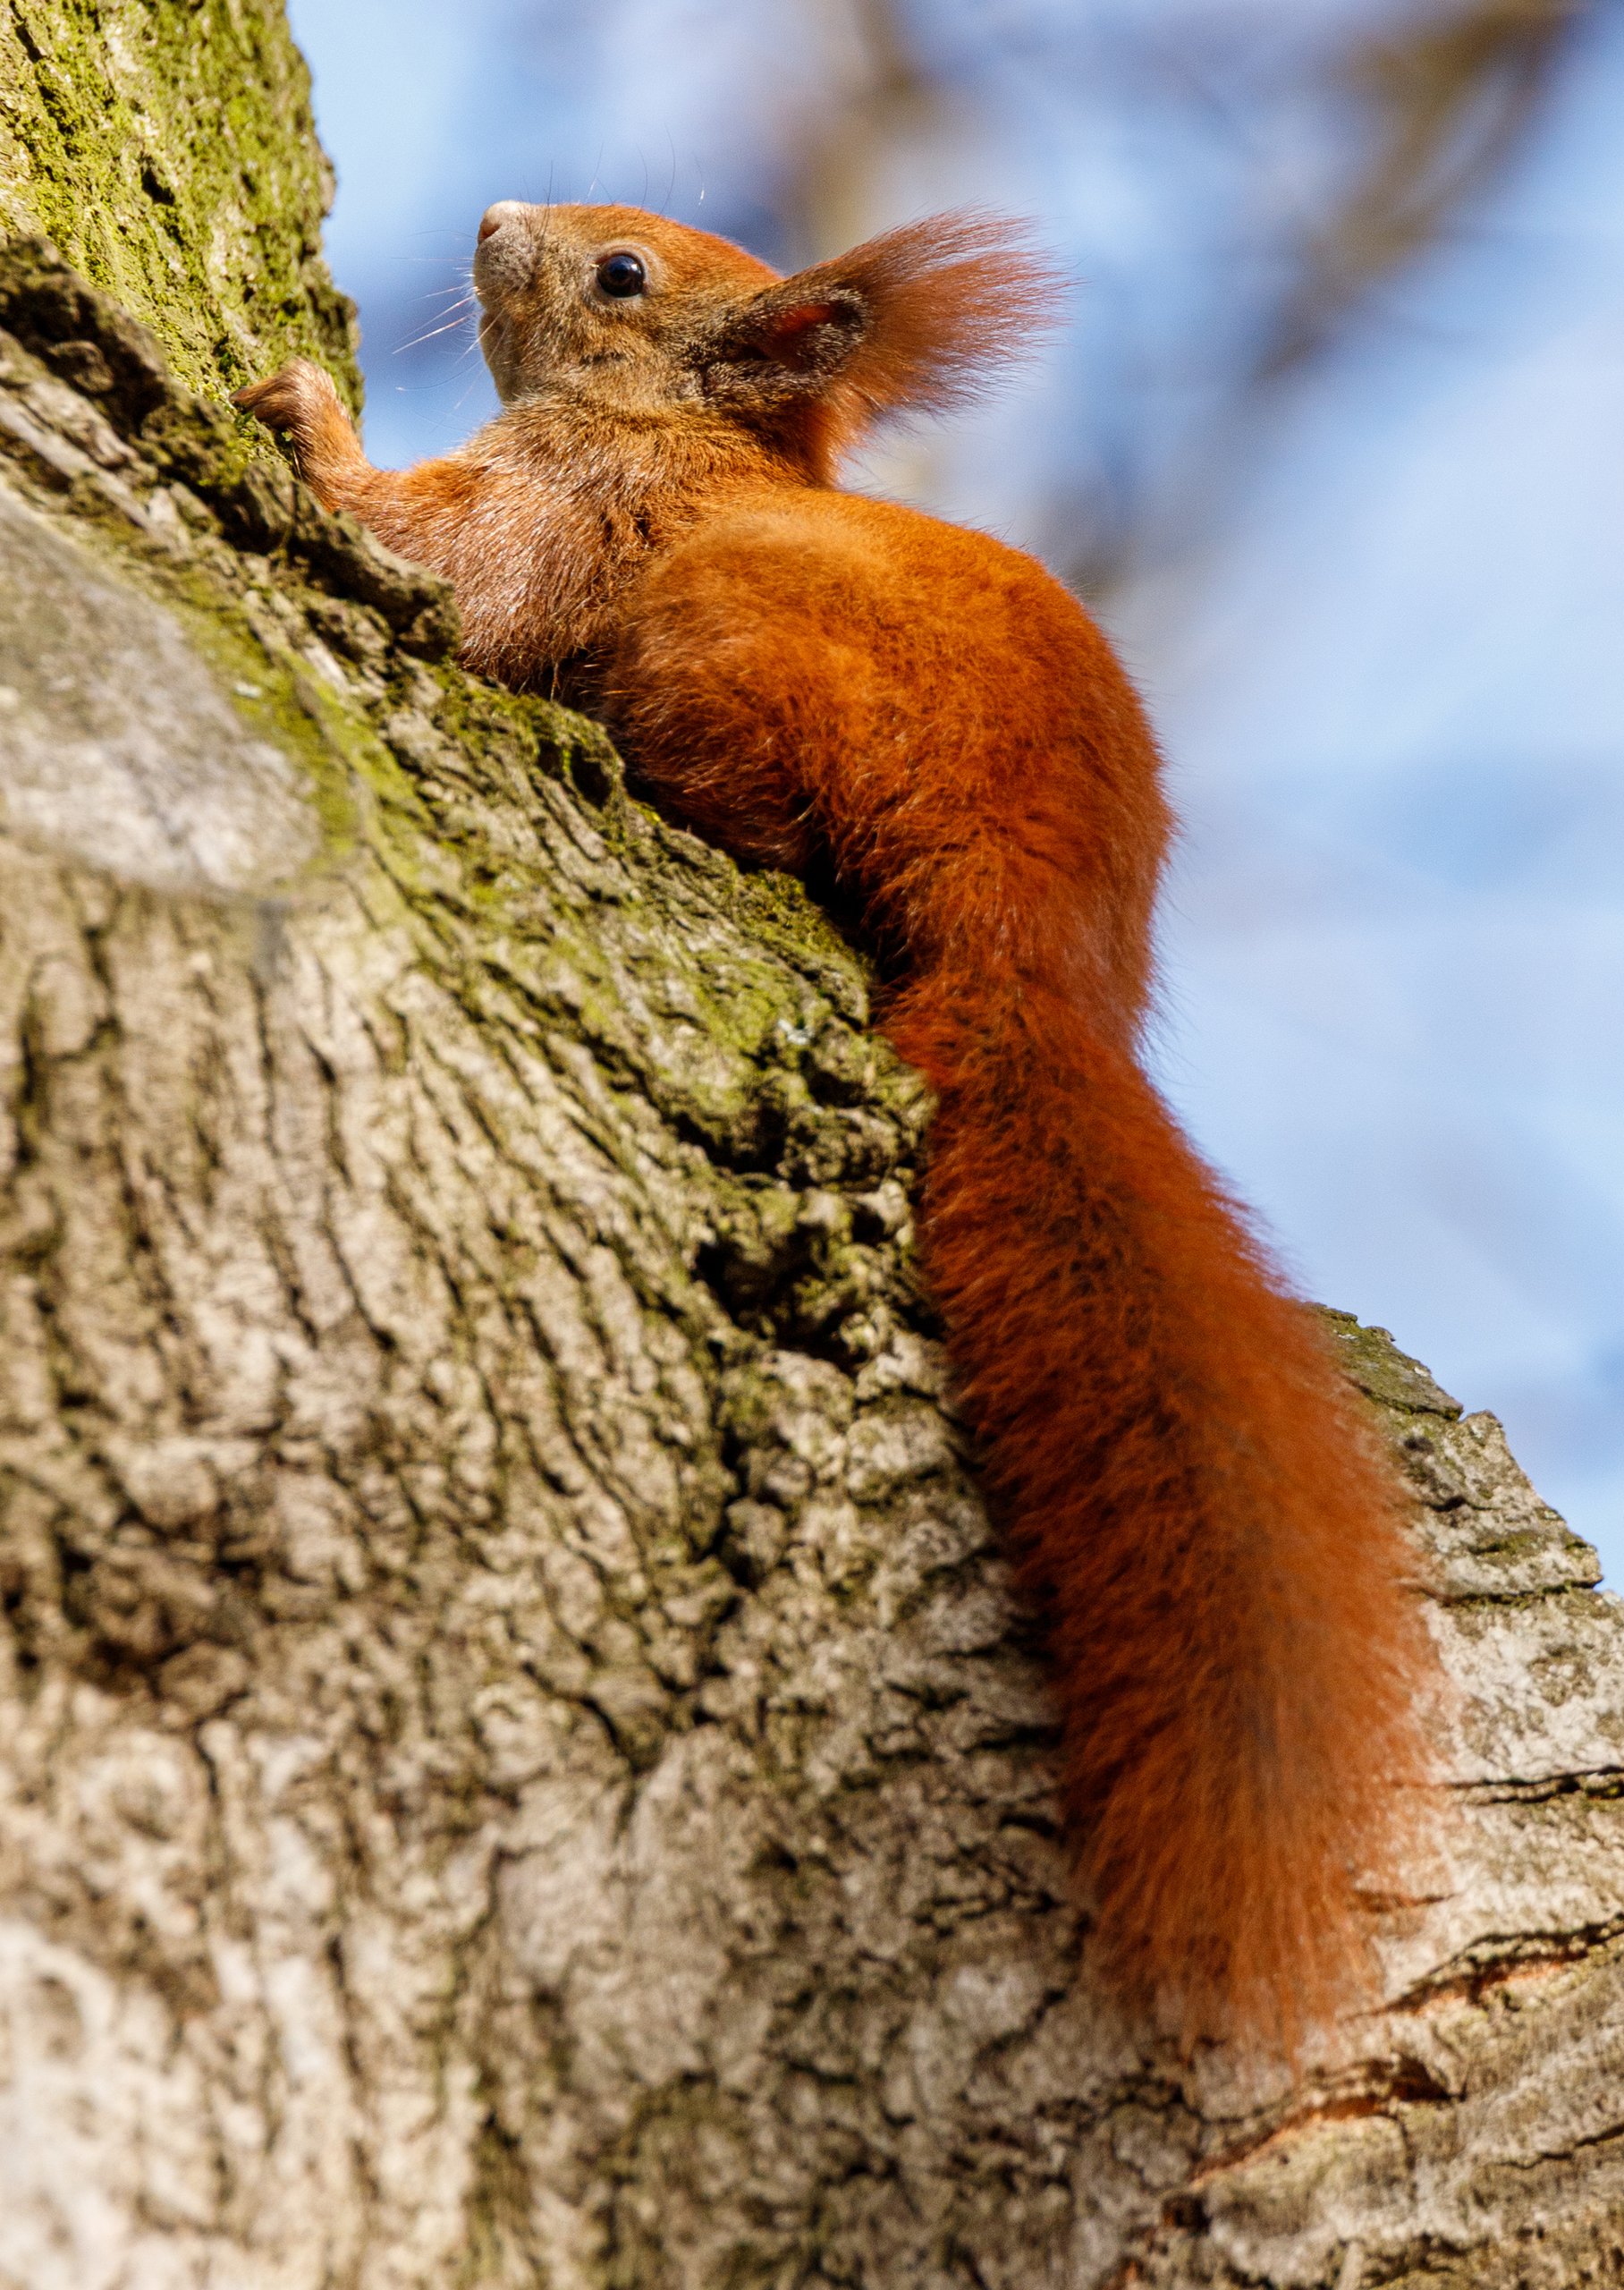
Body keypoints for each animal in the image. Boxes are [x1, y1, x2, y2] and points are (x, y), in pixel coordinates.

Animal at [237, 202, 1441, 2052]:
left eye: (624, 275)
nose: (497, 223)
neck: (699, 443)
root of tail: (1030, 957)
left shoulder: (576, 509)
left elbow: (450, 564)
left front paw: (309, 421)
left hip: (724, 643)